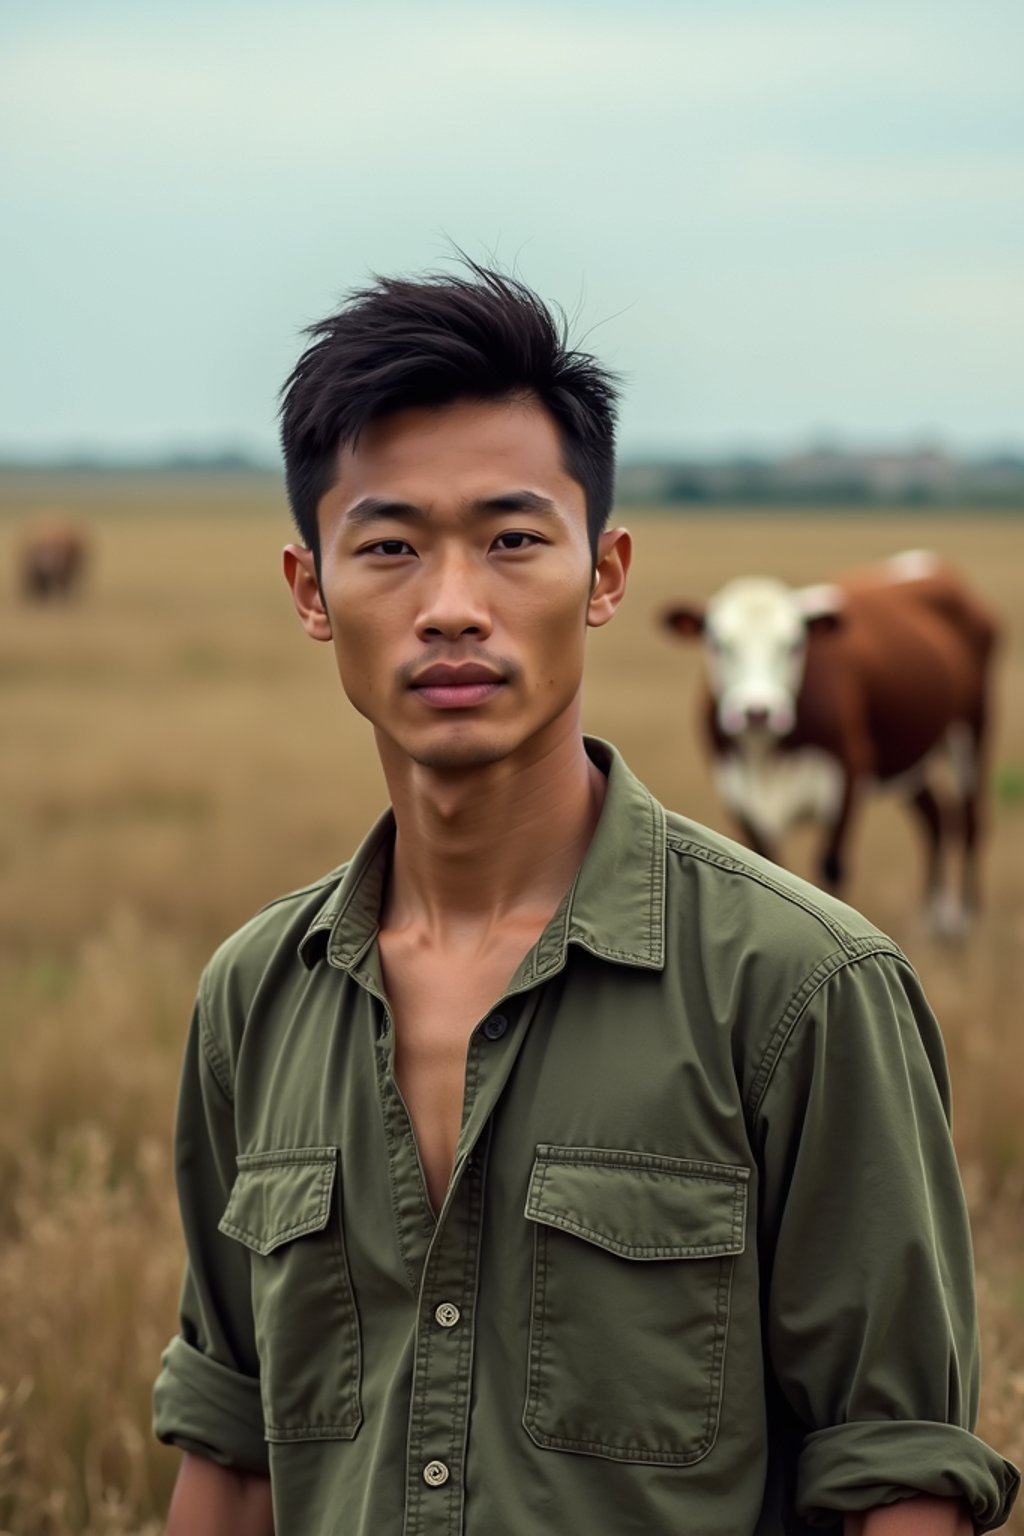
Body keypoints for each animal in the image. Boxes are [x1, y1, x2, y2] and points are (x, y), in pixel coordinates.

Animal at [660, 552, 994, 933]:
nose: (757, 711)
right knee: (936, 819)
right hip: (910, 754)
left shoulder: (847, 778)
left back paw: (961, 916)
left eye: (793, 644)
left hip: (972, 729)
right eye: (717, 642)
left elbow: (831, 869)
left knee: (970, 819)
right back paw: (932, 916)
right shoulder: (737, 789)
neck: (767, 755)